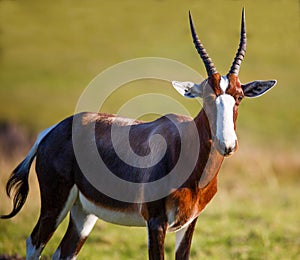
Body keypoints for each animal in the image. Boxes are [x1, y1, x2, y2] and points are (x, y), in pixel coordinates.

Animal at [0, 8, 276, 260]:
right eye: (207, 97)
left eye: (239, 97)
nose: (227, 144)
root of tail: (52, 131)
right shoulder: (155, 221)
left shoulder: (189, 223)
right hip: (55, 203)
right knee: (34, 242)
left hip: (84, 211)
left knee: (63, 252)